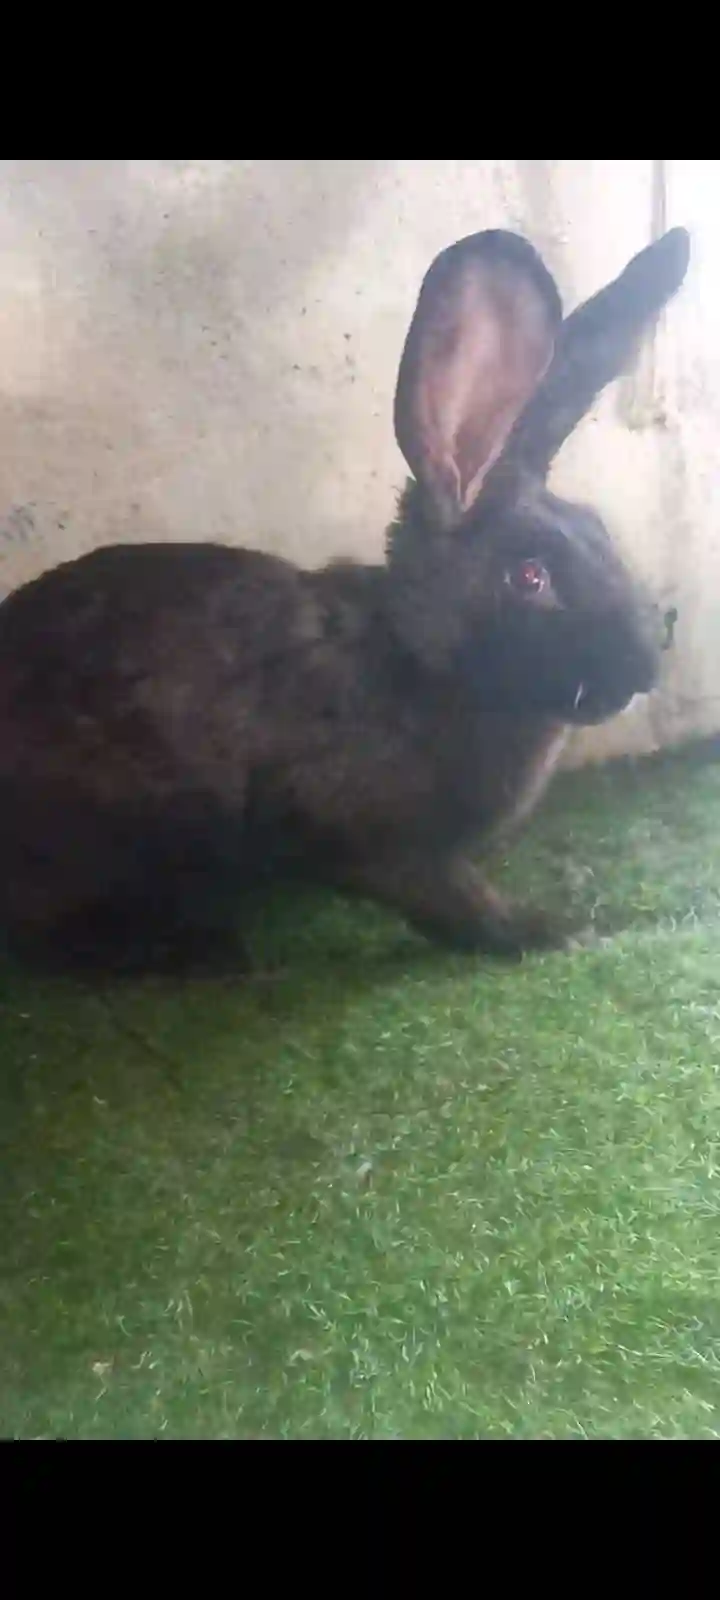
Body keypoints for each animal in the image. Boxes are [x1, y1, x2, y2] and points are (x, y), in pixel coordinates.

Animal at [0, 224, 690, 973]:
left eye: (599, 530)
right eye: (529, 578)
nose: (645, 666)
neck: (420, 660)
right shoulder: (367, 836)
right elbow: (452, 898)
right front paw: (549, 932)